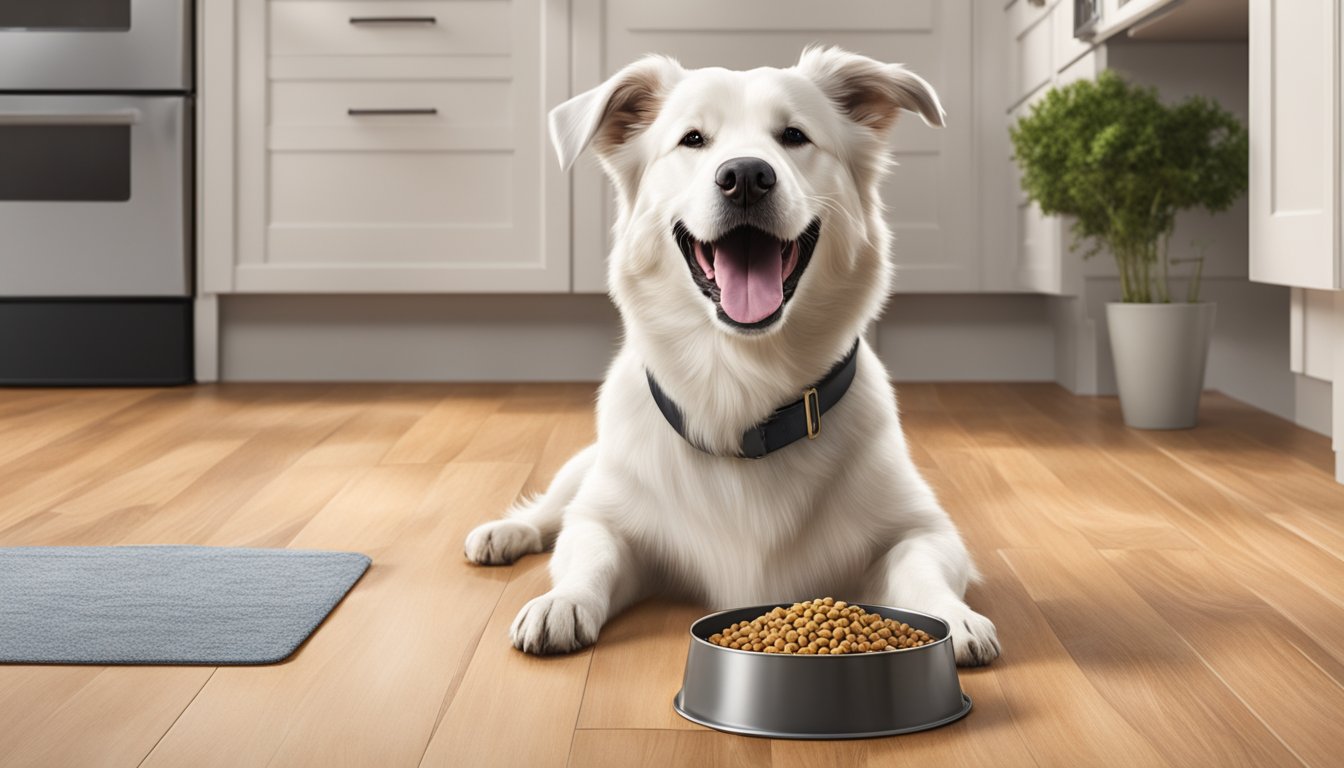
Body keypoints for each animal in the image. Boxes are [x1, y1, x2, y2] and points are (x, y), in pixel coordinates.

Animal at [462, 46, 999, 667]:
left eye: (794, 135)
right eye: (692, 139)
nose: (745, 176)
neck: (741, 381)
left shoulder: (923, 526)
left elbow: (922, 568)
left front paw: (955, 617)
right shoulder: (607, 517)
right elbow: (589, 551)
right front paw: (561, 601)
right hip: (587, 466)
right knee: (553, 509)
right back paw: (506, 532)